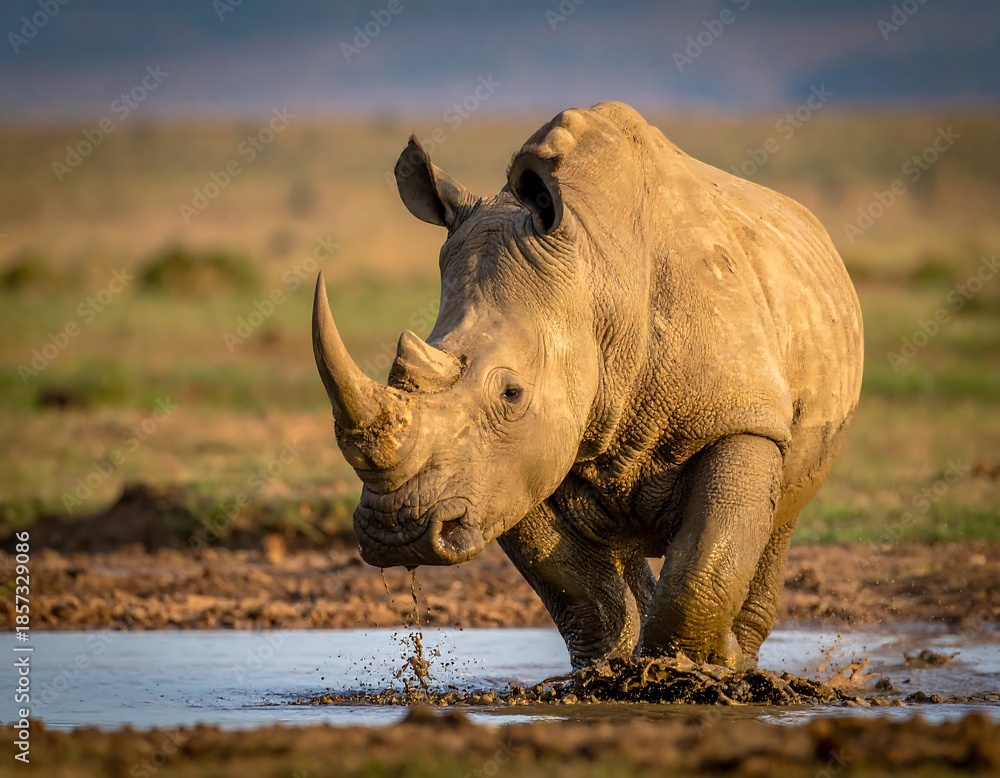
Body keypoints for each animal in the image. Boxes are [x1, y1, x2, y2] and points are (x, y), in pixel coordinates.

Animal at [312, 101, 863, 670]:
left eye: (511, 393)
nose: (396, 532)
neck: (597, 283)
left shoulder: (740, 418)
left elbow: (705, 564)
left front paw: (697, 668)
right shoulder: (508, 465)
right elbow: (577, 587)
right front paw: (609, 671)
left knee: (782, 517)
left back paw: (740, 660)